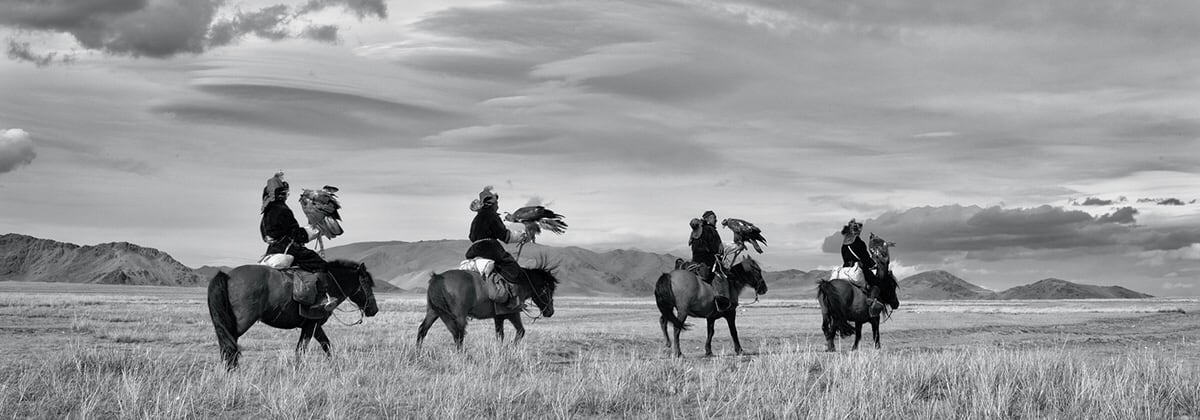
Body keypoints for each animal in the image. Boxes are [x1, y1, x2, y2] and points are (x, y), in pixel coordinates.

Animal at [204, 259, 376, 369]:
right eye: (367, 283)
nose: (374, 310)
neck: (330, 284)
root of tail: (228, 276)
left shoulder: (313, 325)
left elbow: (326, 345)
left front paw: (334, 365)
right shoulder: (311, 325)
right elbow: (302, 349)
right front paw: (299, 370)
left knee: (226, 344)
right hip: (241, 322)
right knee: (230, 344)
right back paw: (232, 370)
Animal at [415, 262, 559, 348]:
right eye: (546, 289)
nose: (550, 311)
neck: (518, 284)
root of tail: (438, 278)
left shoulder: (499, 317)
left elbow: (500, 335)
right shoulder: (512, 314)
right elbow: (520, 332)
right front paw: (511, 348)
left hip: (433, 311)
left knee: (423, 330)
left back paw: (418, 353)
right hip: (459, 316)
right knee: (458, 335)